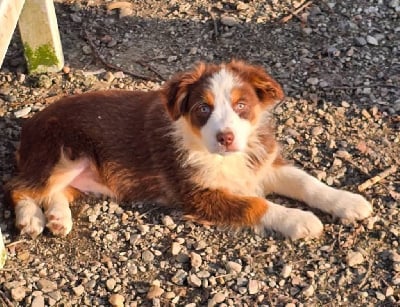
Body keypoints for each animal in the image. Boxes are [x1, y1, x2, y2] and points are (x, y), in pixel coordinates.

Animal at [6, 60, 374, 241]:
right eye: (202, 109)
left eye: (241, 106)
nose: (226, 138)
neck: (222, 157)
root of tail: (29, 124)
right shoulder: (196, 193)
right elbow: (256, 204)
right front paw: (300, 220)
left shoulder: (261, 161)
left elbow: (306, 181)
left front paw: (348, 202)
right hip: (63, 151)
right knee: (18, 186)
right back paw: (30, 220)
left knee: (52, 192)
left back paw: (56, 218)